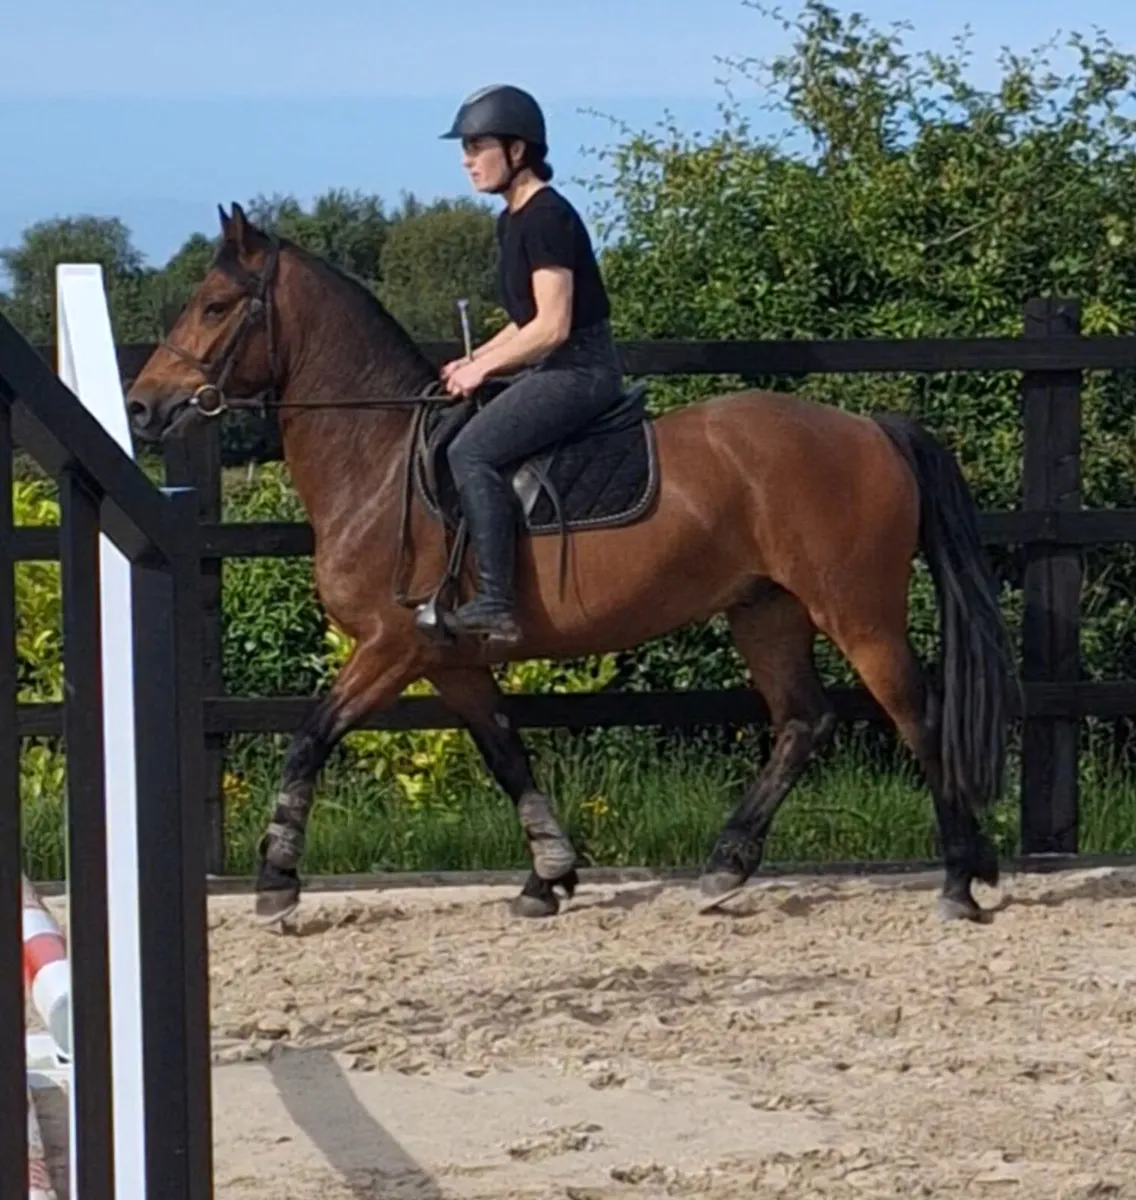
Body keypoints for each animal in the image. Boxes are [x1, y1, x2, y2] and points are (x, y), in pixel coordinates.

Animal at [126, 201, 1017, 927]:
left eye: (214, 305)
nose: (142, 405)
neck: (377, 460)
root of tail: (870, 428)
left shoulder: (392, 645)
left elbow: (309, 738)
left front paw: (276, 881)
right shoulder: (448, 658)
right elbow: (505, 752)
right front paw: (548, 876)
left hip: (857, 610)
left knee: (916, 716)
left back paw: (957, 882)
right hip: (766, 609)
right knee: (805, 721)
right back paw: (727, 868)